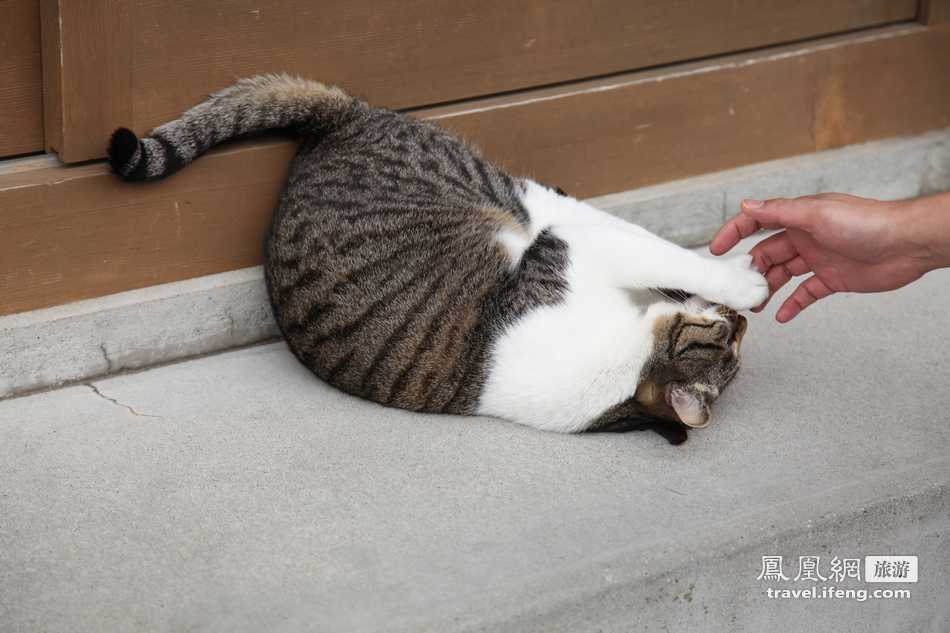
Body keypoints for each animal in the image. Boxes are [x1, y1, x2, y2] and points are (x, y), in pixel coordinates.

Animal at [108, 74, 768, 444]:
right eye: (726, 340)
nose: (742, 323)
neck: (625, 374)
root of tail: (337, 126)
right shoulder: (569, 251)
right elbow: (660, 251)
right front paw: (746, 279)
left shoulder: (569, 249)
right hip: (501, 191)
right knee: (558, 202)